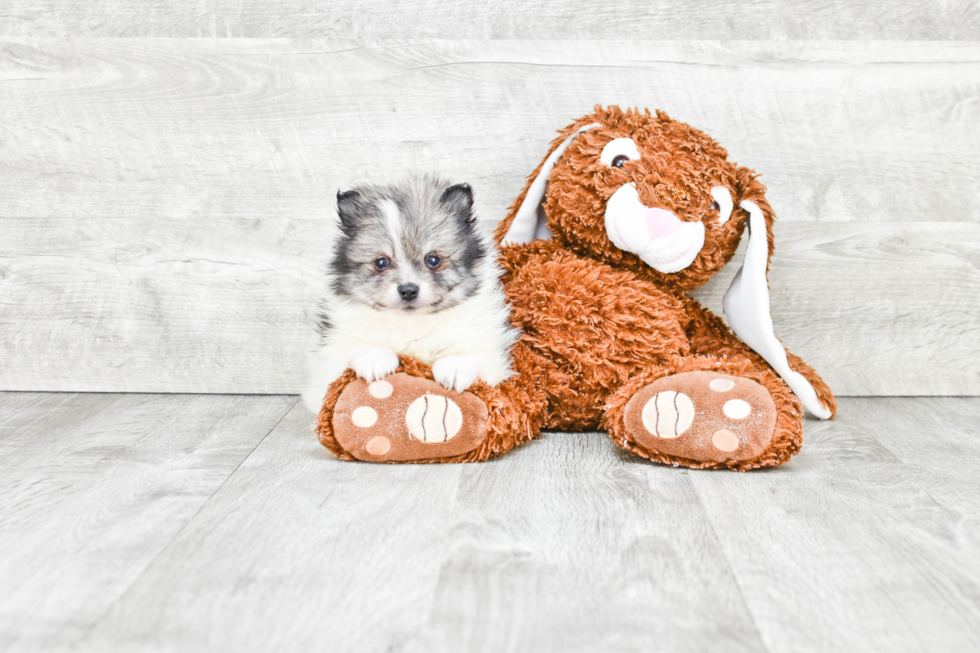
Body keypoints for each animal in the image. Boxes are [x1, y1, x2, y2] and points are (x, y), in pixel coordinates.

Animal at [300, 177, 516, 412]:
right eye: (381, 262)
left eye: (433, 260)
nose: (408, 290)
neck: (412, 324)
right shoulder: (329, 357)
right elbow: (354, 349)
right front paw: (375, 359)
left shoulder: (490, 353)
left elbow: (470, 353)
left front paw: (455, 367)